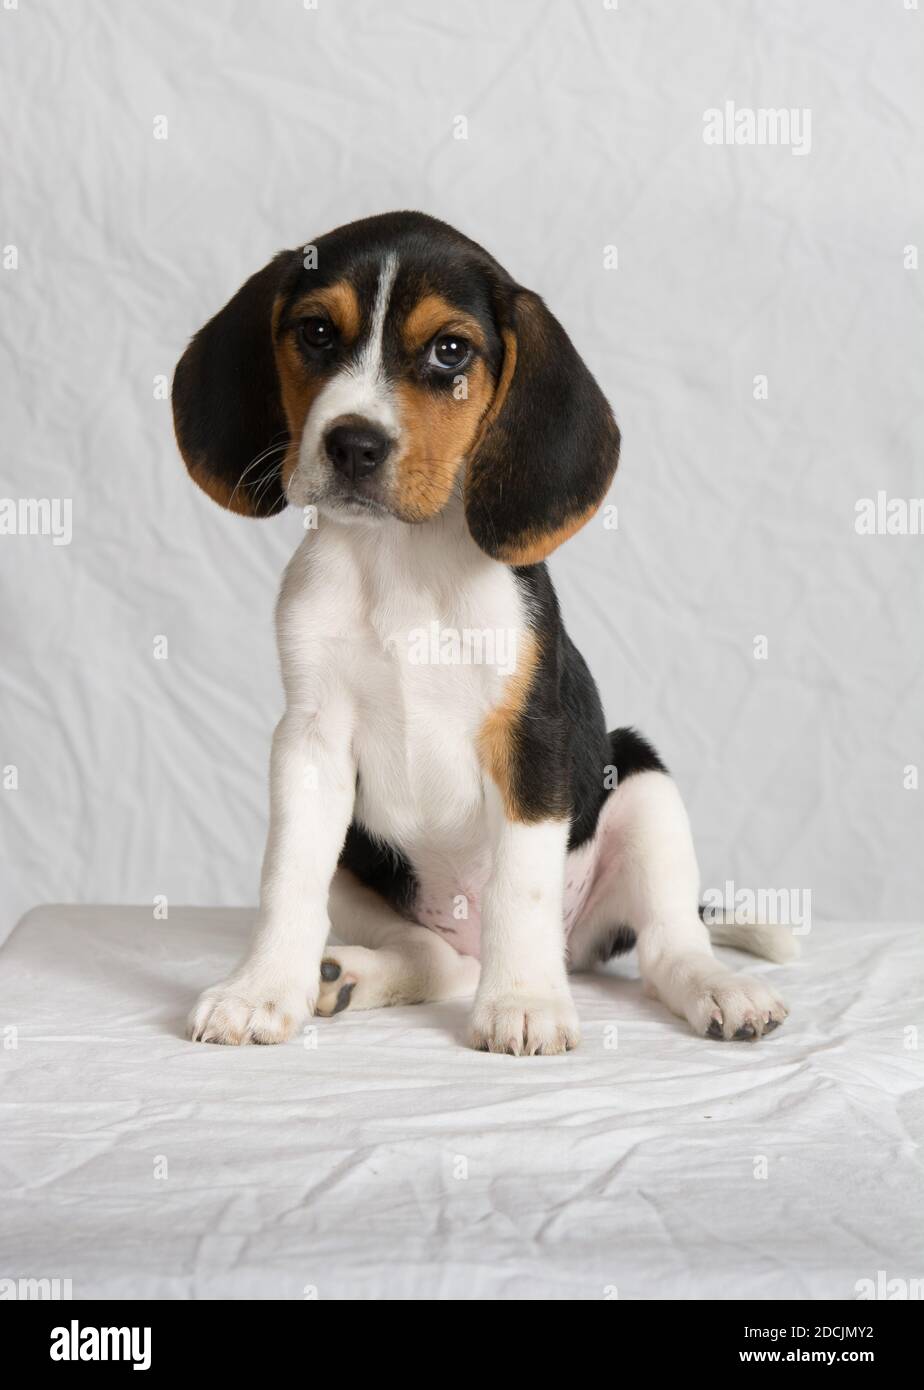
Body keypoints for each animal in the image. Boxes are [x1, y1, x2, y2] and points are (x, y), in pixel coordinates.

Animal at [175, 208, 794, 1050]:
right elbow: (286, 880)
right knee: (439, 961)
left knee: (669, 942)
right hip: (362, 870)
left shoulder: (530, 742)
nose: (353, 444)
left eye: (450, 351)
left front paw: (525, 1000)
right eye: (315, 332)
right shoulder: (309, 743)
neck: (403, 560)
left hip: (642, 784)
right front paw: (261, 989)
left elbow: (519, 888)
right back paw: (344, 976)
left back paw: (719, 989)